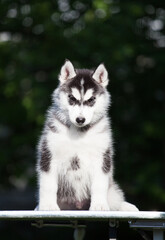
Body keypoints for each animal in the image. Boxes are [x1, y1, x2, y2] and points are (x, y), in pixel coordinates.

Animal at [36, 60, 139, 212]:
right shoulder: (49, 155)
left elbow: (99, 185)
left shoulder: (101, 158)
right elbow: (48, 185)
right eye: (71, 98)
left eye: (91, 100)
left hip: (112, 190)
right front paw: (48, 205)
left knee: (115, 200)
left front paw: (99, 205)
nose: (80, 119)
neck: (79, 133)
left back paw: (126, 206)